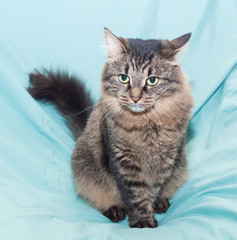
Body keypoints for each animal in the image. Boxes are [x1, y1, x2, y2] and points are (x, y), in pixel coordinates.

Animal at [28, 27, 194, 227]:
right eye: (124, 78)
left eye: (152, 80)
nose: (135, 97)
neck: (144, 124)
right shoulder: (123, 161)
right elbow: (136, 195)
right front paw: (143, 223)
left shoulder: (165, 161)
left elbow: (152, 191)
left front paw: (150, 213)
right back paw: (115, 210)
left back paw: (161, 203)